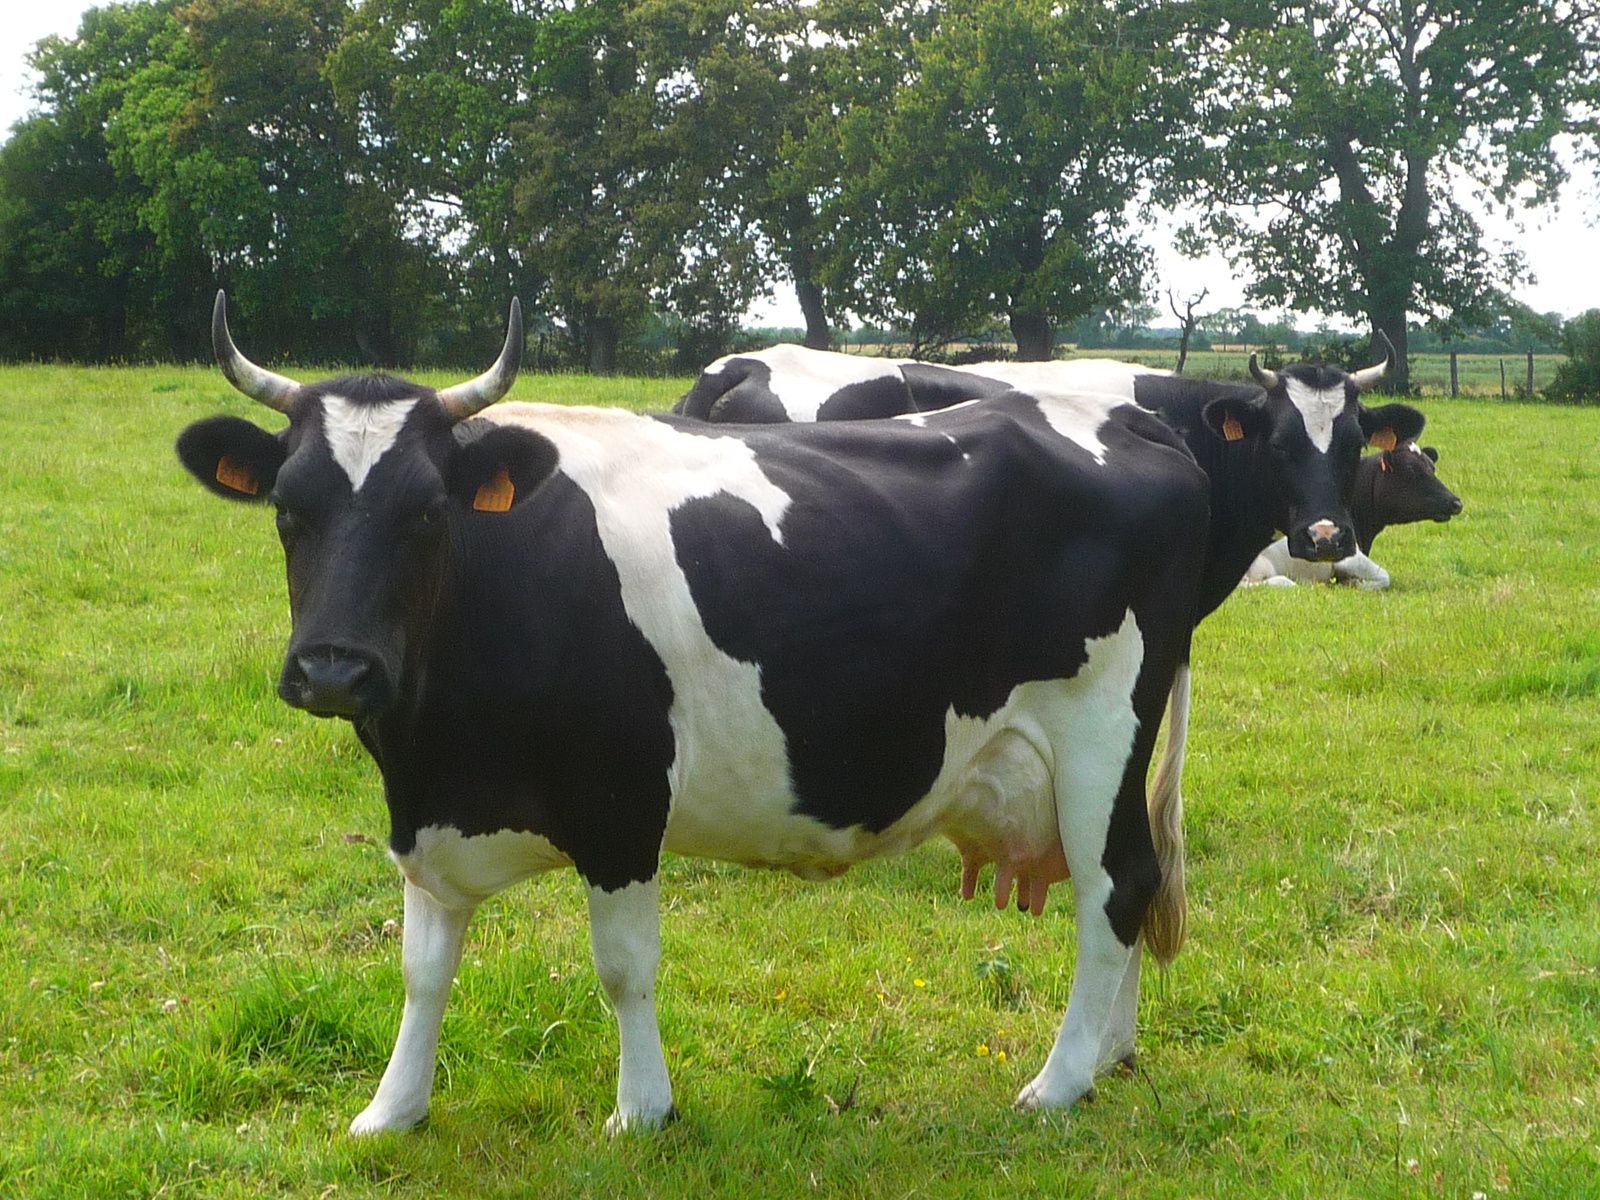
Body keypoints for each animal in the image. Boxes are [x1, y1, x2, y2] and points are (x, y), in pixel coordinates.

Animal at [178, 294, 1209, 1139]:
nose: (334, 669)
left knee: (1116, 885)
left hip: (1101, 732)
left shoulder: (622, 802)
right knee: (1136, 883)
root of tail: (1132, 419)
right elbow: (423, 968)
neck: (435, 745)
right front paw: (393, 1110)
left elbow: (623, 968)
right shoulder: (429, 814)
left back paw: (1060, 1082)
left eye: (429, 512)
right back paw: (1111, 1056)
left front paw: (642, 1110)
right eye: (286, 508)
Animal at [1241, 441, 1465, 592]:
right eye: (1411, 470)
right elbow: (1385, 577)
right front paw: (1355, 583)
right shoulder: (1348, 557)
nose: (1456, 502)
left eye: (1432, 467)